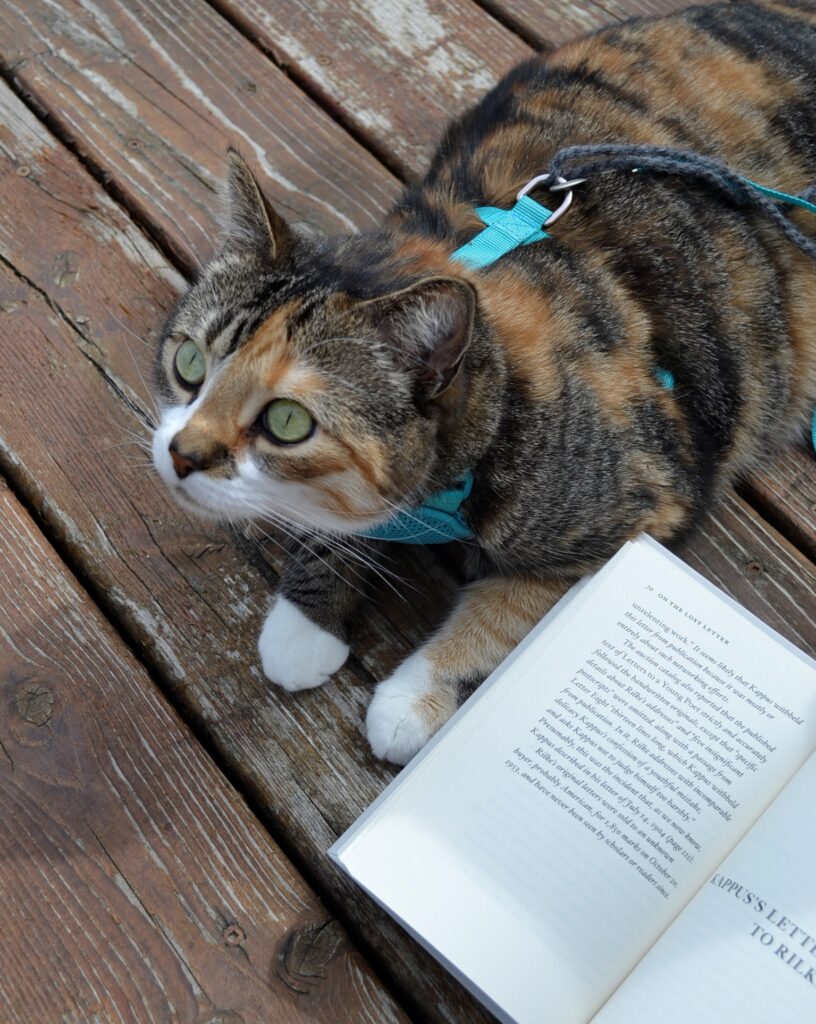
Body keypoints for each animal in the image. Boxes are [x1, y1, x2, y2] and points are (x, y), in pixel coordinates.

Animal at [151, 2, 814, 761]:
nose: (181, 455)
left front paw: (411, 700)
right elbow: (335, 525)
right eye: (189, 364)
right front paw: (305, 622)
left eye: (287, 422)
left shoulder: (647, 509)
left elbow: (506, 615)